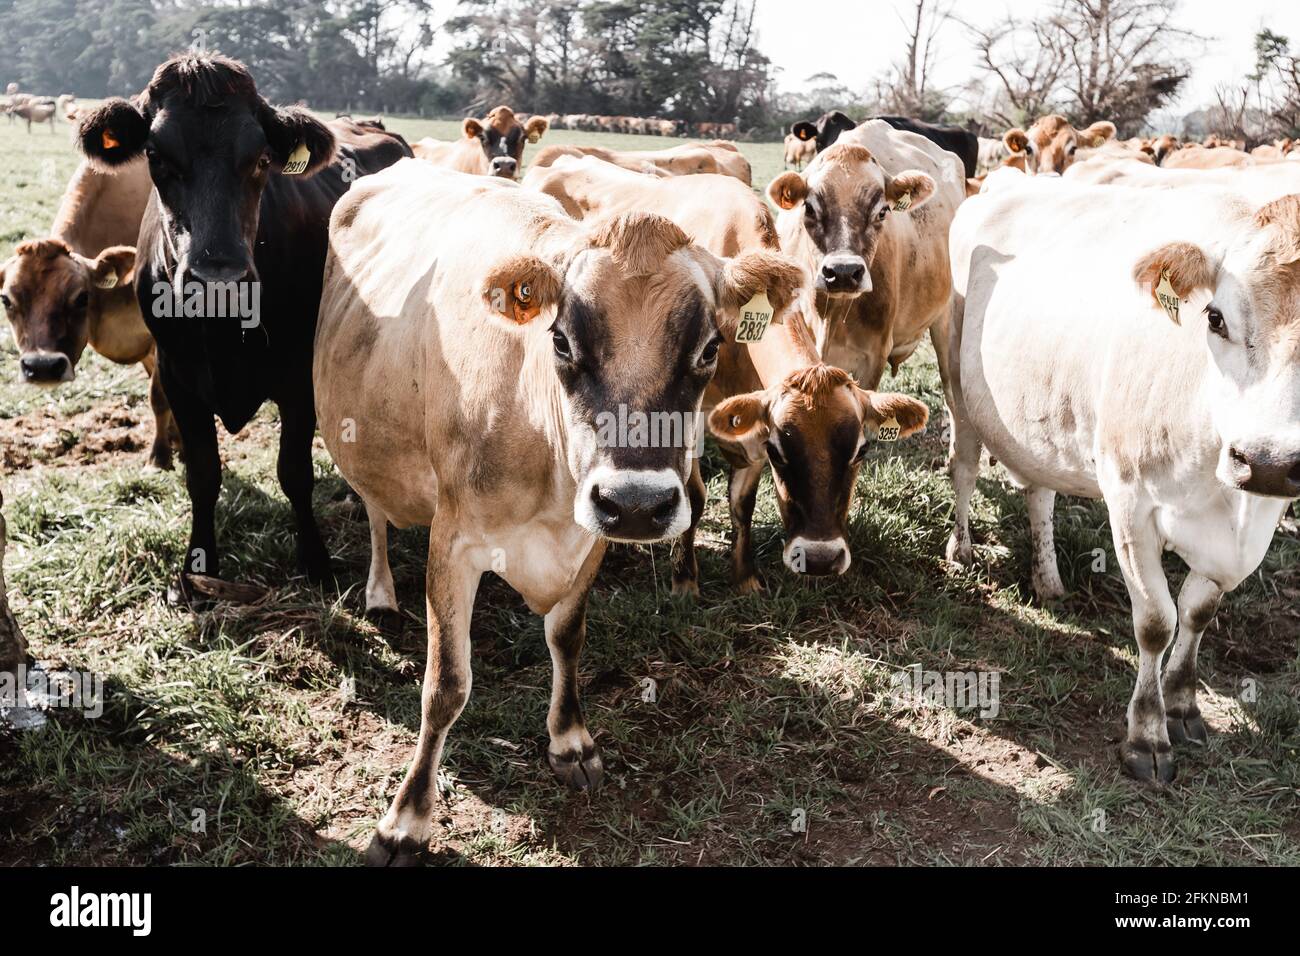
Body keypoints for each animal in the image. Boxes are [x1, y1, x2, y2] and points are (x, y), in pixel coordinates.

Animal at [77, 52, 410, 600]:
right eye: (156, 155)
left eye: (261, 159)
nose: (219, 278)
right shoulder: (178, 378)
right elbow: (203, 475)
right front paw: (198, 568)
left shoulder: (298, 377)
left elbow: (294, 472)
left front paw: (315, 560)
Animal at [946, 178, 1300, 785]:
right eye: (1215, 318)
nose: (1267, 461)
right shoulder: (1131, 505)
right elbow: (1157, 621)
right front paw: (1147, 736)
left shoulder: (1255, 524)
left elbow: (1198, 612)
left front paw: (1182, 706)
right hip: (957, 382)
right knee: (964, 470)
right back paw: (962, 549)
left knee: (1039, 493)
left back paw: (1048, 579)